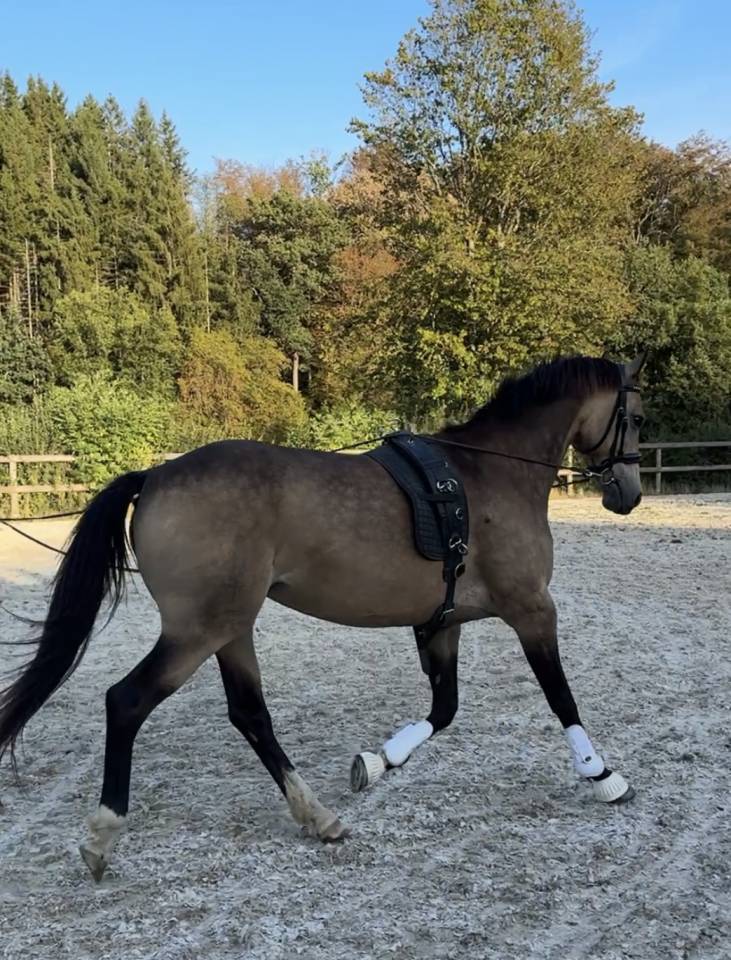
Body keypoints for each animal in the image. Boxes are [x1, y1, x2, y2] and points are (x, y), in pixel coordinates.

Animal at [0, 353, 646, 882]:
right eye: (636, 417)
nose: (629, 494)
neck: (491, 476)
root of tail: (154, 477)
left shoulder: (443, 621)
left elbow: (443, 710)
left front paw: (377, 762)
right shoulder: (531, 608)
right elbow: (560, 696)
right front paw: (602, 775)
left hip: (231, 629)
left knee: (249, 715)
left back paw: (317, 816)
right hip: (199, 632)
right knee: (128, 702)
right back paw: (104, 835)